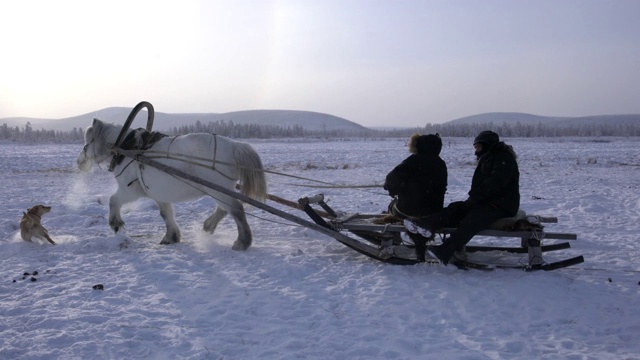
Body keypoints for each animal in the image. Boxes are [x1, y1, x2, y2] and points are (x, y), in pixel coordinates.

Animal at [77, 119, 268, 250]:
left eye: (86, 144)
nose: (79, 162)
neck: (127, 148)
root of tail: (235, 145)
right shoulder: (157, 193)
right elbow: (165, 213)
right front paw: (171, 236)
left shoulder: (130, 190)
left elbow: (113, 201)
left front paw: (115, 224)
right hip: (220, 189)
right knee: (225, 209)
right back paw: (208, 226)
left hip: (218, 189)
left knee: (236, 209)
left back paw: (242, 241)